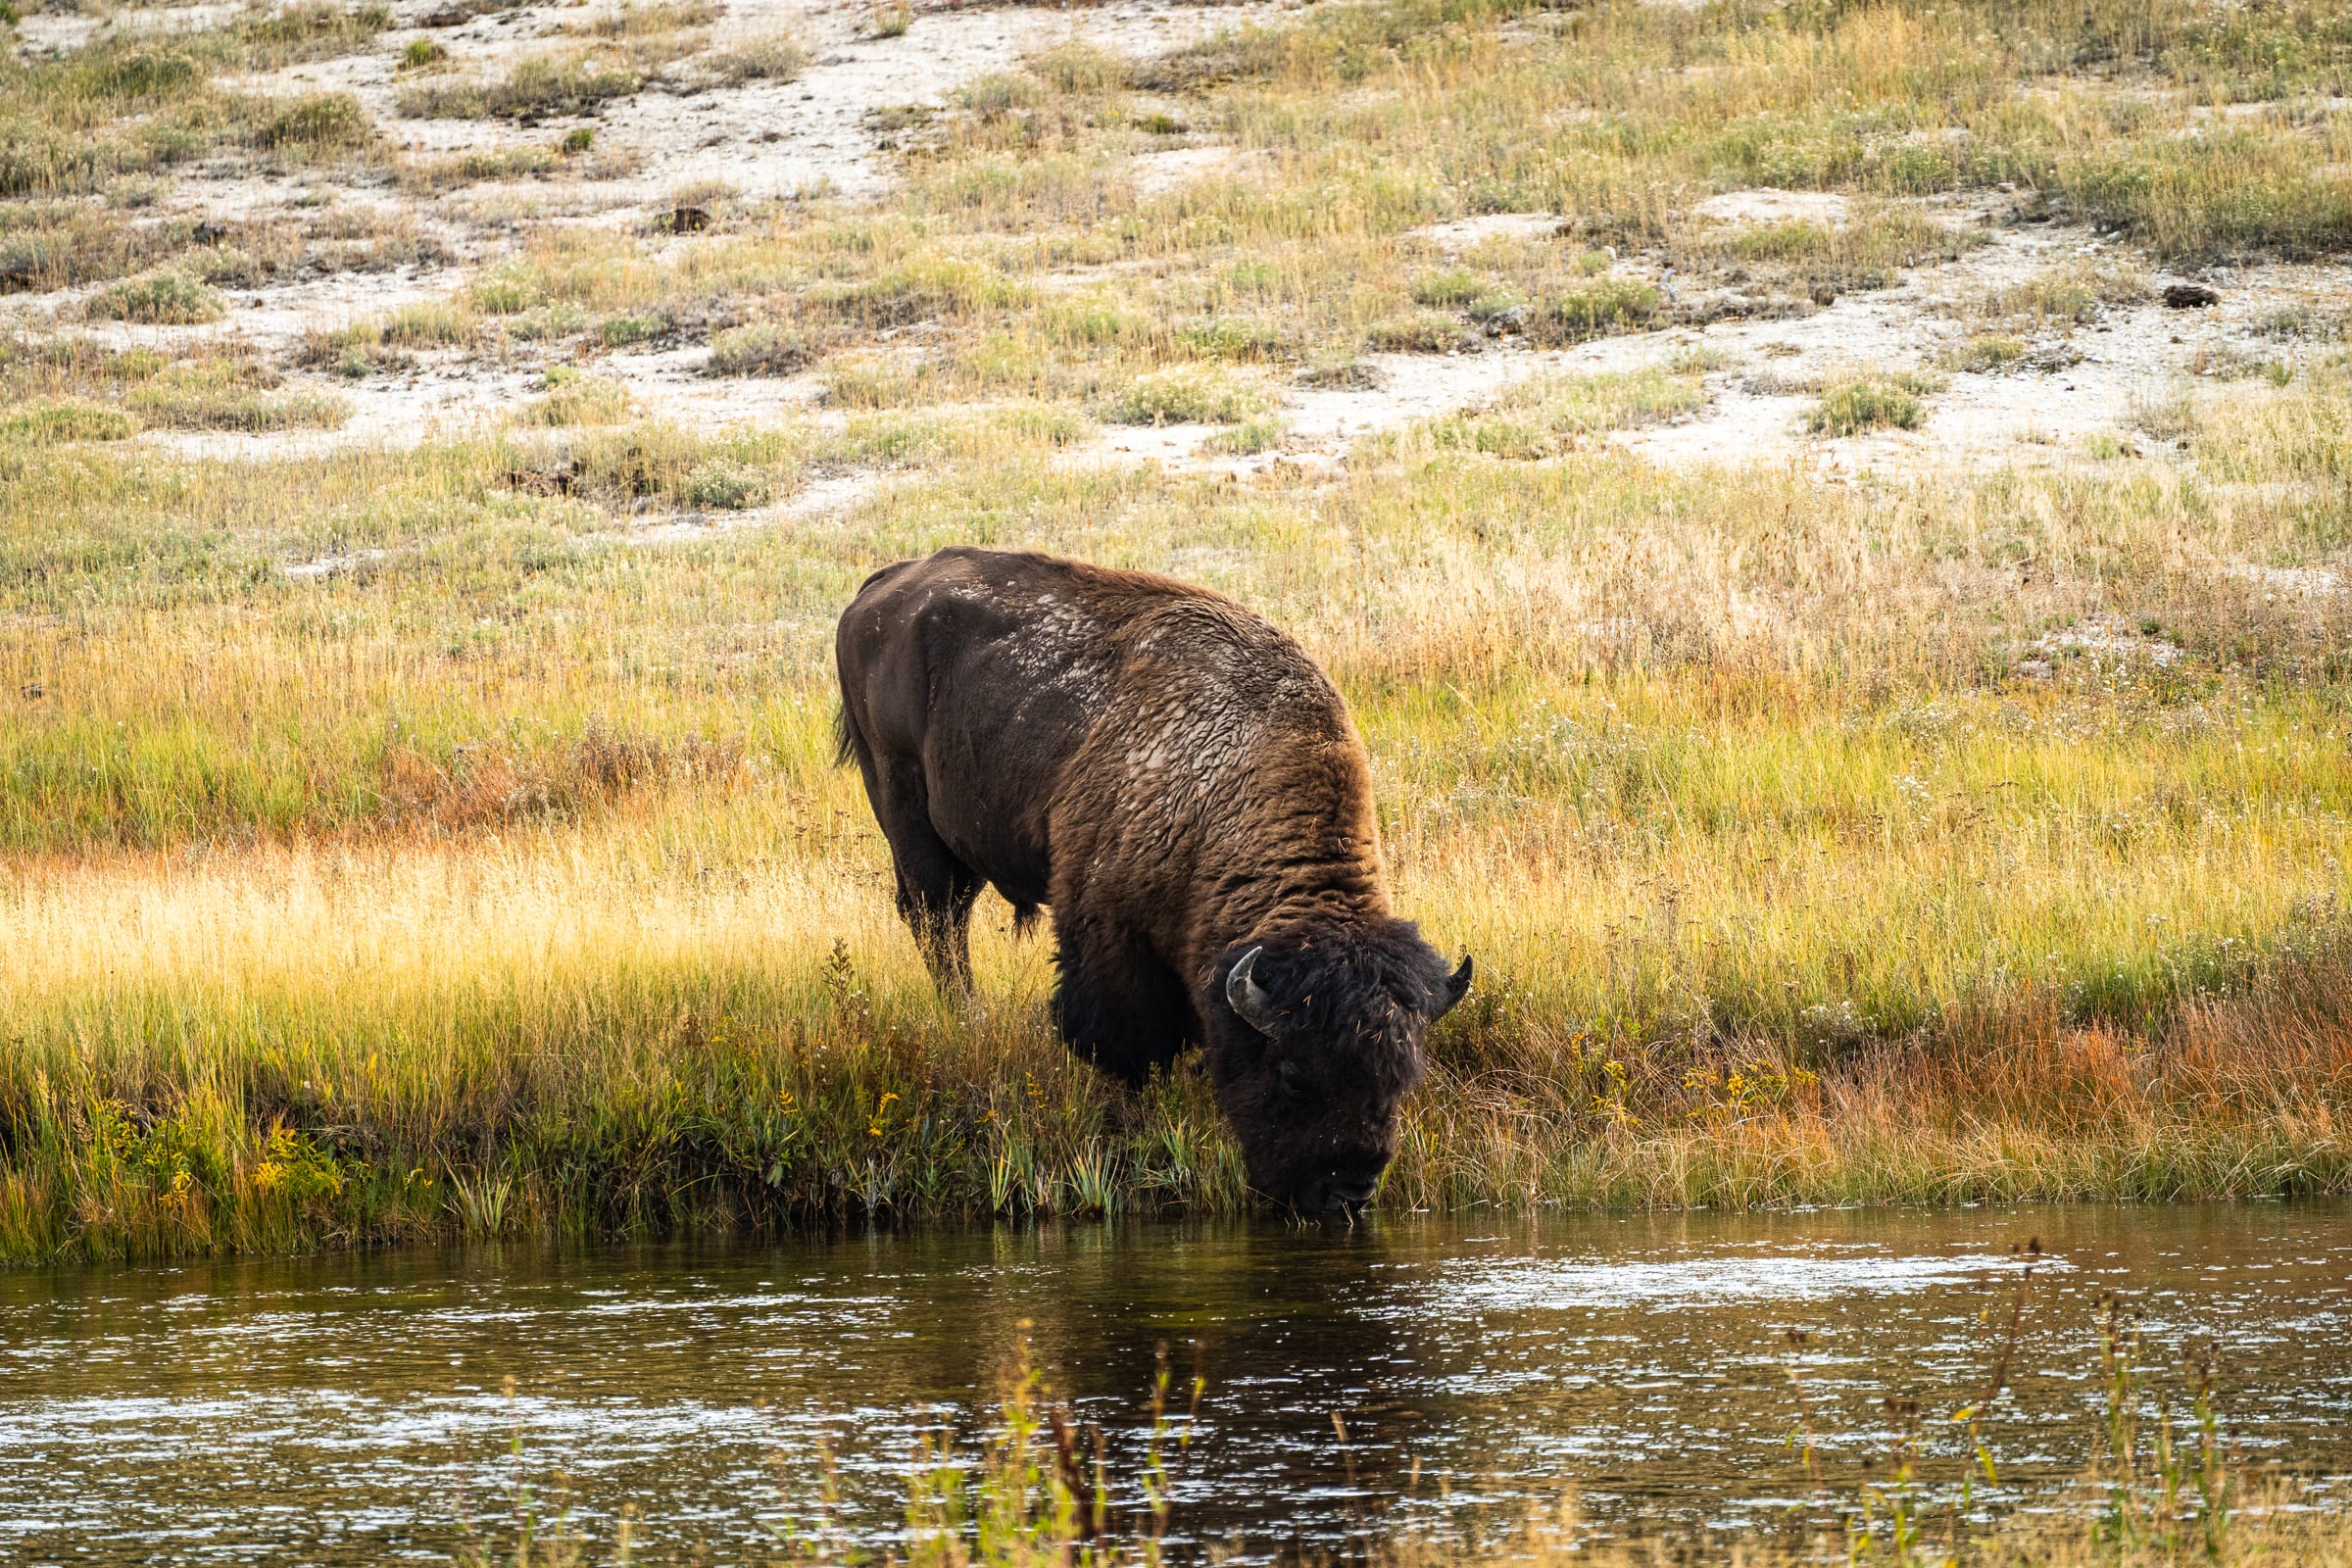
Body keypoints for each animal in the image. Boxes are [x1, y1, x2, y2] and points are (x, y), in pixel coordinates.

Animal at [833, 547, 1471, 1214]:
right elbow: (1125, 1039)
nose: (1347, 1189)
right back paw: (966, 1016)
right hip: (903, 810)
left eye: (1402, 1079)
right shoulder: (1109, 933)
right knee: (937, 922)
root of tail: (883, 584)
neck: (1221, 786)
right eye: (1294, 1077)